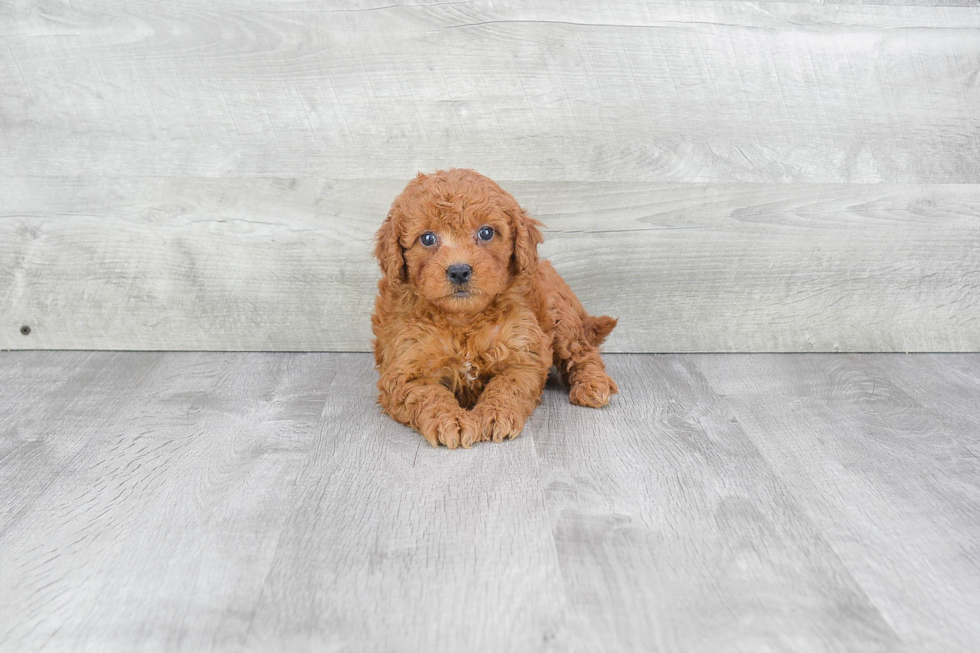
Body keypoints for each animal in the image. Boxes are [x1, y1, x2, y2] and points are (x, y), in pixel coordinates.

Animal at [372, 167, 616, 448]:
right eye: (427, 238)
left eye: (486, 233)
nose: (459, 271)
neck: (463, 319)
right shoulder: (405, 368)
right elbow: (429, 395)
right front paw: (452, 420)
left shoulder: (523, 354)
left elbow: (507, 385)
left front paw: (495, 414)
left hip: (560, 316)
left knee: (582, 351)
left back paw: (592, 384)